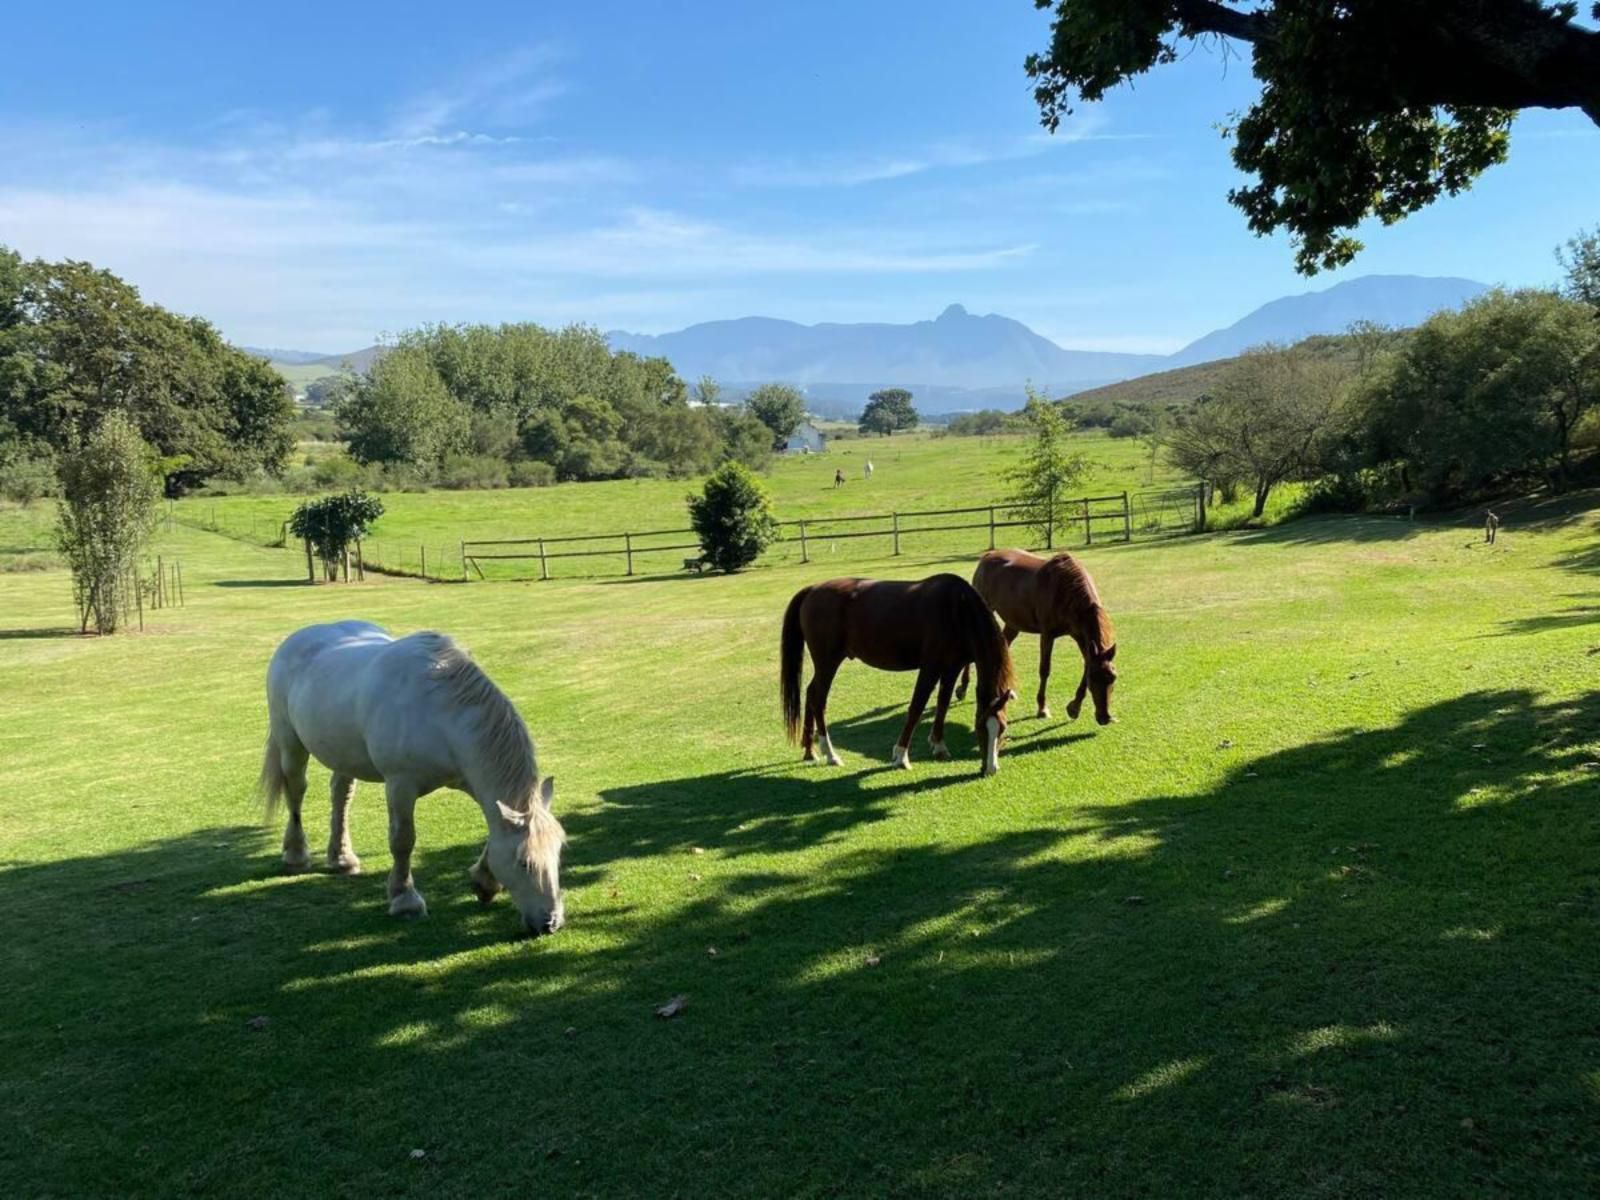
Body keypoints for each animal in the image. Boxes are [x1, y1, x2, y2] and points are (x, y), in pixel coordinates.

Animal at [259, 620, 566, 940]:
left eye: (558, 854)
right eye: (525, 862)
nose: (551, 923)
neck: (440, 713)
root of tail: (300, 636)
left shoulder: (469, 780)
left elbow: (493, 831)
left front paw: (484, 881)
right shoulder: (400, 785)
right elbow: (403, 841)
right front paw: (404, 900)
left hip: (343, 754)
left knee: (340, 796)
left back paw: (342, 859)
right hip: (290, 743)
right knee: (296, 791)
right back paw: (296, 855)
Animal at [780, 576, 1017, 780]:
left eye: (1003, 728)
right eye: (980, 728)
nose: (990, 768)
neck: (958, 609)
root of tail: (813, 589)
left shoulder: (952, 667)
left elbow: (943, 703)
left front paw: (939, 745)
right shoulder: (930, 667)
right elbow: (916, 708)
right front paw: (901, 756)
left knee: (810, 693)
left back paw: (810, 750)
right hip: (828, 661)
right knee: (818, 698)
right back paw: (830, 753)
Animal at [953, 550, 1120, 729]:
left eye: (1113, 677)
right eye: (1093, 679)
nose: (1105, 717)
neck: (1066, 589)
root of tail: (988, 556)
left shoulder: (1080, 636)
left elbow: (1087, 664)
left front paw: (1074, 707)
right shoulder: (1047, 634)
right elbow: (1045, 670)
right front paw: (1042, 708)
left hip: (1013, 623)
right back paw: (963, 688)